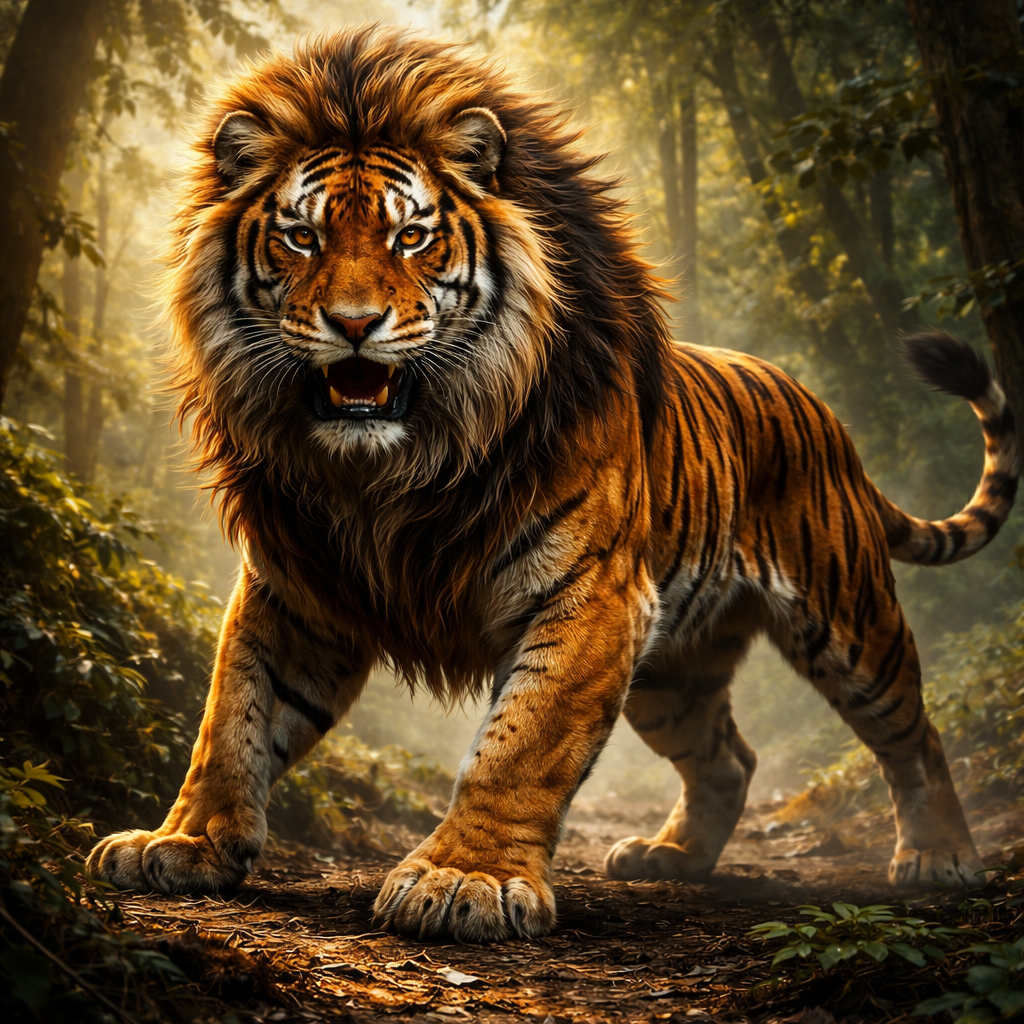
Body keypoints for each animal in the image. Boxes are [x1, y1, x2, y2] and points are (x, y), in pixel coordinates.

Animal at [86, 27, 1019, 943]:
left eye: (410, 238)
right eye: (303, 238)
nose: (353, 324)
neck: (385, 471)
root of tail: (820, 411)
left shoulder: (592, 597)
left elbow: (519, 745)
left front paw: (467, 879)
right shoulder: (296, 586)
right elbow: (231, 719)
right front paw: (182, 843)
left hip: (849, 620)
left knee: (915, 735)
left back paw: (940, 859)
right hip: (674, 675)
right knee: (729, 756)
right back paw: (671, 857)